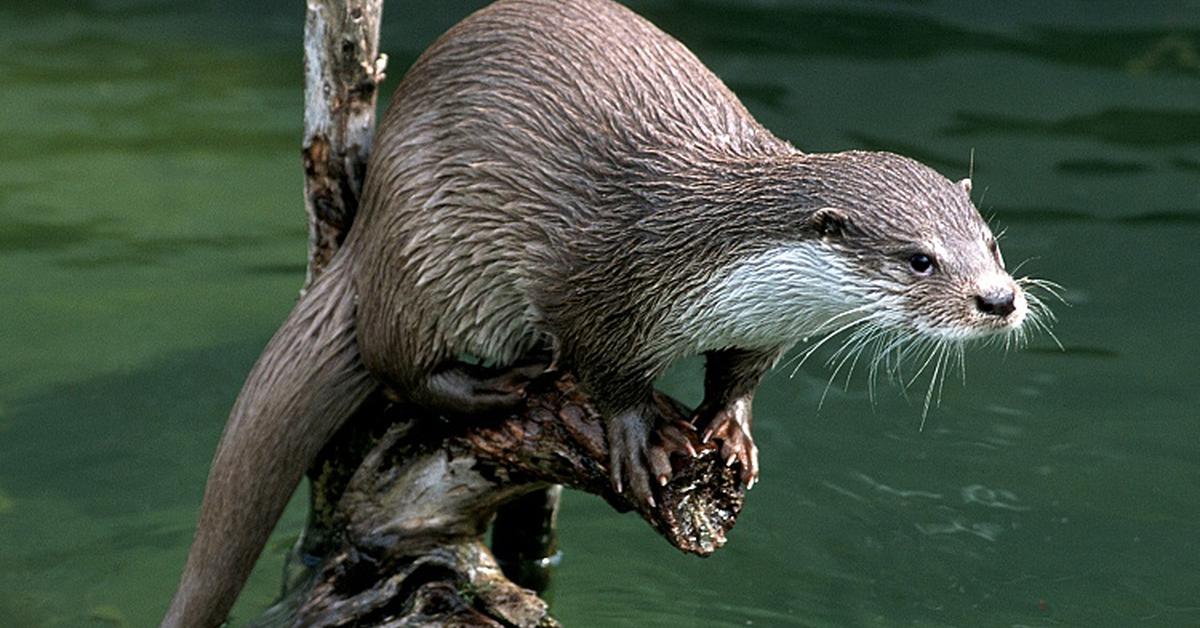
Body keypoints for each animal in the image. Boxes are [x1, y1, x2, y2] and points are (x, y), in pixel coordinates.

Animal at [164, 0, 1046, 624]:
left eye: (990, 243)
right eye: (920, 259)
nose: (999, 299)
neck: (710, 255)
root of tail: (367, 226)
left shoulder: (758, 329)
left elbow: (737, 377)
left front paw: (731, 431)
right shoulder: (588, 281)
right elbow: (606, 370)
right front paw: (639, 438)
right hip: (427, 253)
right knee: (396, 357)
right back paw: (498, 385)